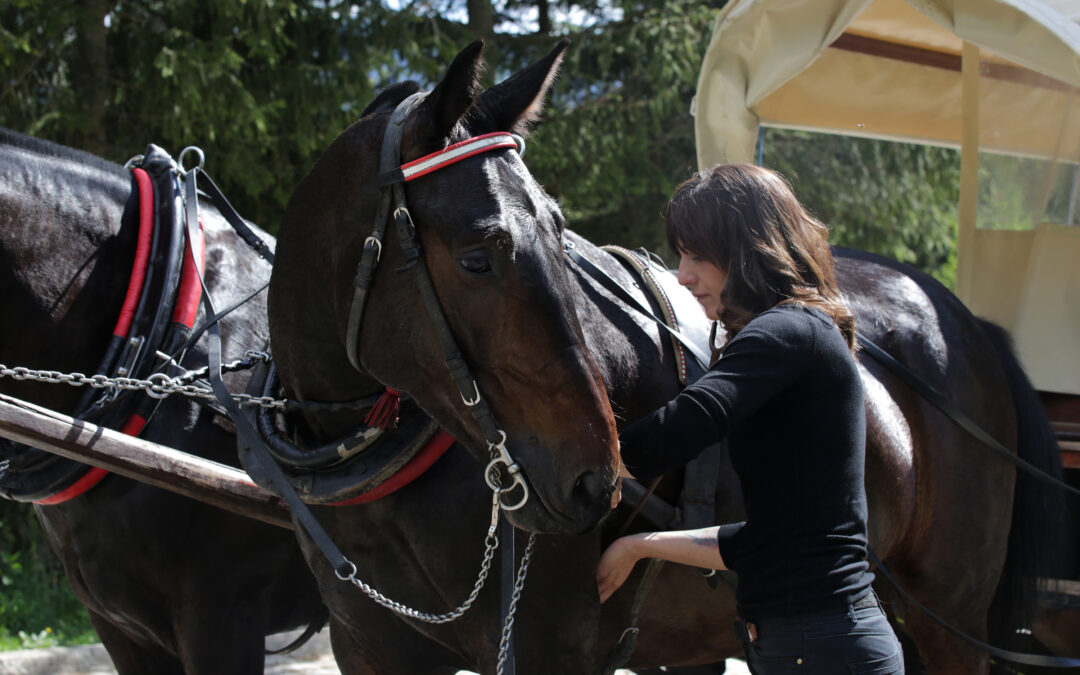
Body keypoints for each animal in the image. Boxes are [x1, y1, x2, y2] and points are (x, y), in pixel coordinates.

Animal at [265, 38, 1067, 673]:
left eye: (558, 229)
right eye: (476, 258)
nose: (594, 479)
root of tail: (962, 317)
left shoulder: (546, 650)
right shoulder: (371, 649)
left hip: (951, 622)